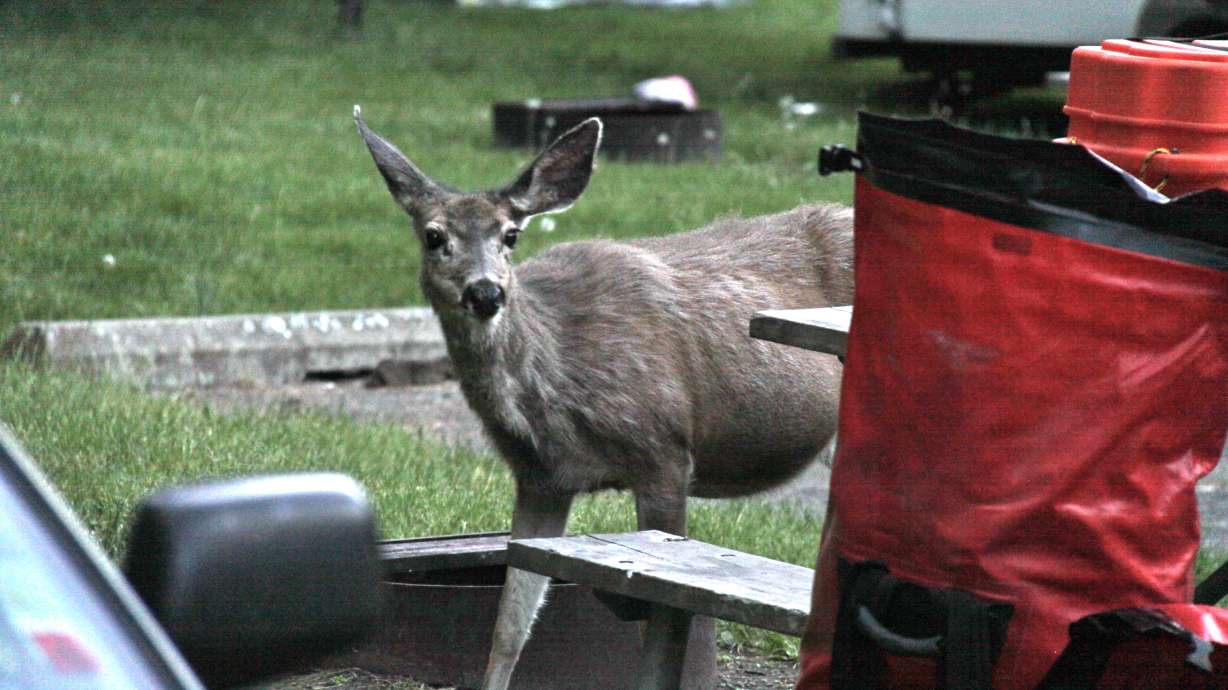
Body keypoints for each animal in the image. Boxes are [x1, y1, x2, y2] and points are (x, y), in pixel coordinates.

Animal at [354, 106, 852, 690]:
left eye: (510, 235)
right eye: (434, 236)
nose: (486, 292)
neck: (555, 387)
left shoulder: (663, 450)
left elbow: (651, 619)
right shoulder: (540, 479)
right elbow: (509, 625)